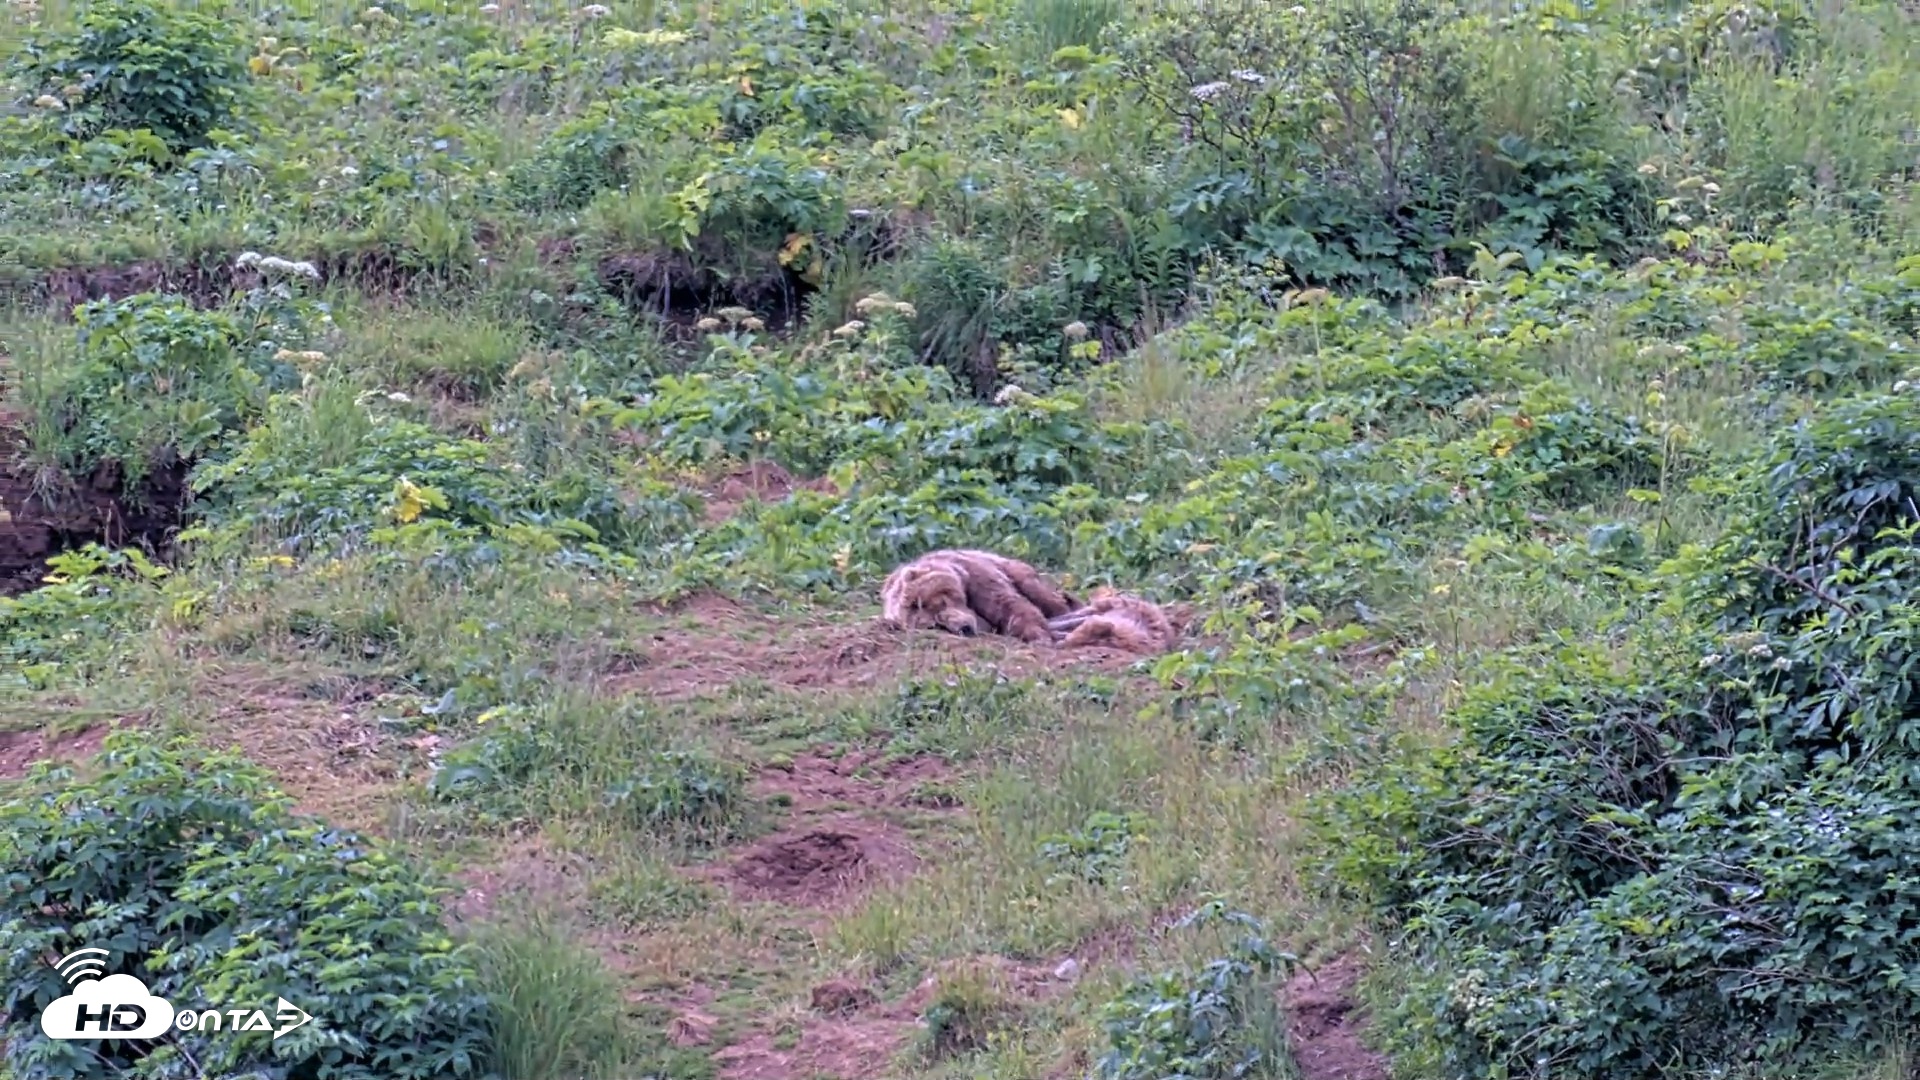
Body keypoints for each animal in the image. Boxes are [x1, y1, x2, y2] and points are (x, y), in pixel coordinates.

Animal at [880, 549, 1079, 646]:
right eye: (936, 625)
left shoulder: (977, 578)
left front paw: (1038, 635)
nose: (965, 628)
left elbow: (1008, 604)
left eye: (941, 603)